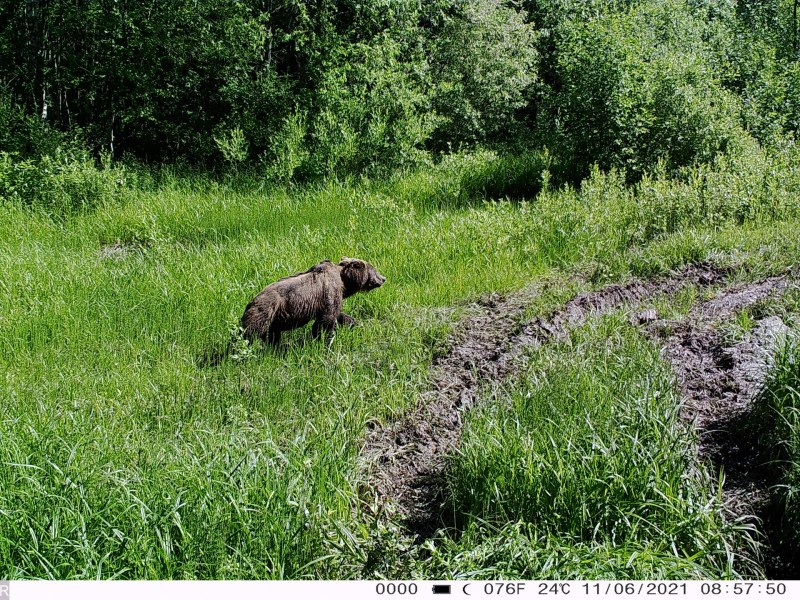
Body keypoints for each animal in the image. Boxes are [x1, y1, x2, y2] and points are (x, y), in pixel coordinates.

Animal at [239, 255, 386, 344]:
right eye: (373, 269)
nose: (383, 278)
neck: (344, 283)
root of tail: (251, 301)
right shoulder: (329, 292)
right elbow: (326, 320)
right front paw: (323, 340)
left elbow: (338, 314)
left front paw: (355, 323)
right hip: (265, 309)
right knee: (250, 332)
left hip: (273, 318)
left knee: (272, 335)